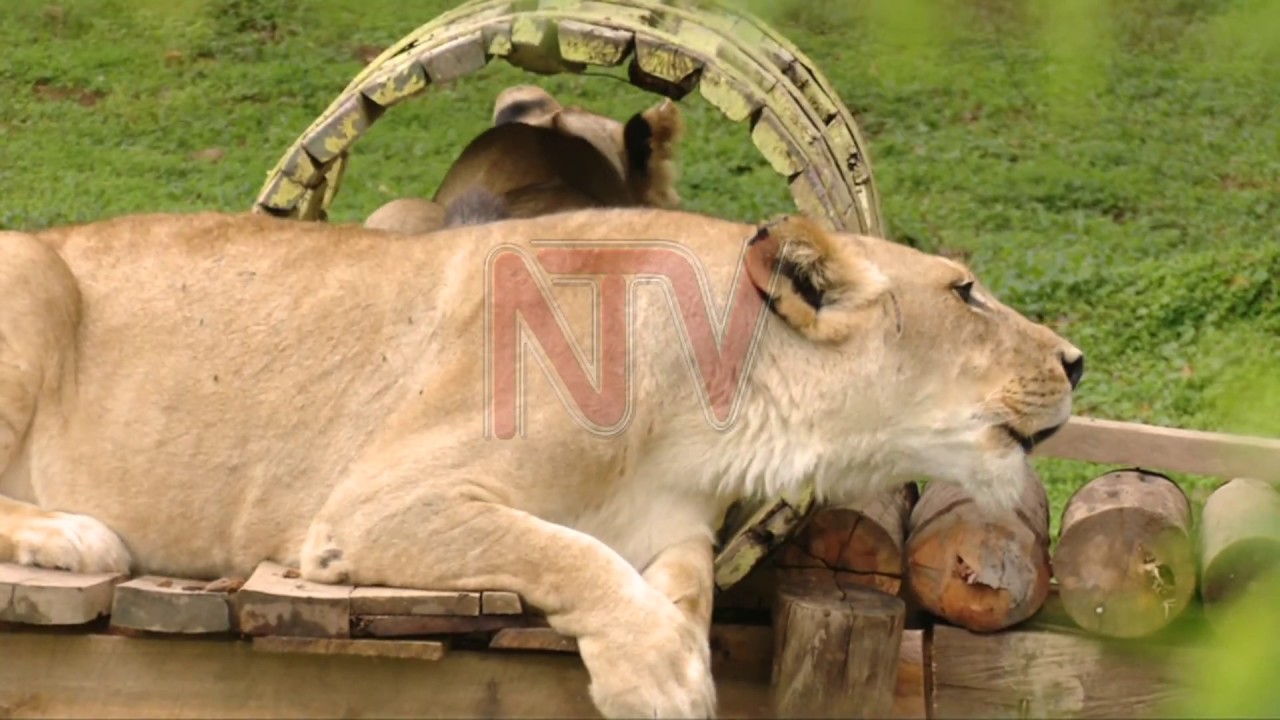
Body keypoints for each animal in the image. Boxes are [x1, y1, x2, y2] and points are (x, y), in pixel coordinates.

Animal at [0, 207, 1083, 718]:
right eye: (965, 292)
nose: (1075, 360)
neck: (717, 414)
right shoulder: (372, 506)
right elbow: (564, 551)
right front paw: (657, 676)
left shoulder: (675, 527)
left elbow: (682, 584)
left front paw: (674, 648)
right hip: (32, 280)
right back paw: (73, 533)